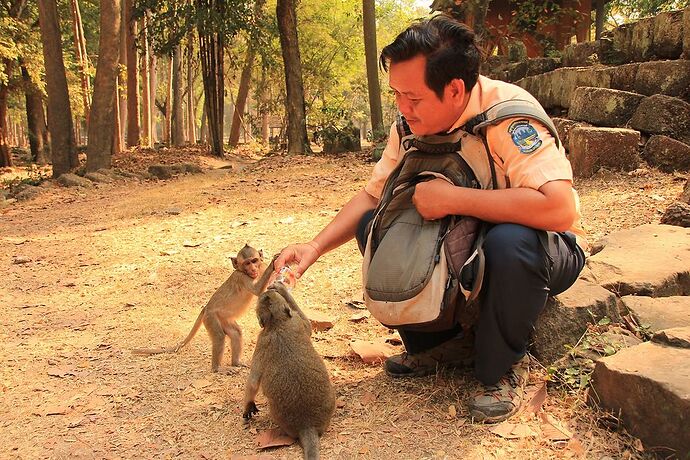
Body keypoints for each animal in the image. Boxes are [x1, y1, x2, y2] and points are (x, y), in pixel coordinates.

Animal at [132, 244, 274, 374]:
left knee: (236, 333)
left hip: (223, 319)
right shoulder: (241, 277)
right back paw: (217, 369)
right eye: (246, 263)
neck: (246, 272)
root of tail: (206, 308)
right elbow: (256, 290)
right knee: (219, 336)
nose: (253, 269)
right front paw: (273, 263)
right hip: (211, 318)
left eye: (254, 261)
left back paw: (236, 363)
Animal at [243, 282, 334, 458]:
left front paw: (248, 405)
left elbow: (253, 381)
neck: (278, 323)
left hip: (279, 417)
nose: (270, 290)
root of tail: (307, 425)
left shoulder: (261, 340)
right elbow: (307, 326)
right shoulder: (295, 322)